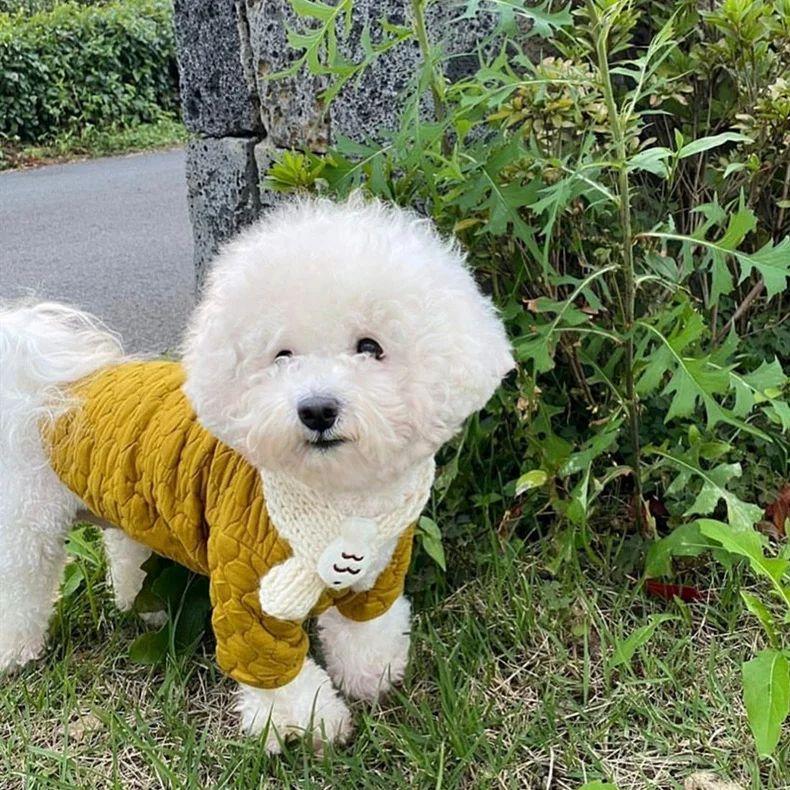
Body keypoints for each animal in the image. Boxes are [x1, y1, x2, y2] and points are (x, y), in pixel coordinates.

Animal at [0, 195, 516, 752]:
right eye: (282, 355)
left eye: (370, 347)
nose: (316, 409)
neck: (332, 499)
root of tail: (44, 382)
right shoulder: (249, 587)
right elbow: (277, 673)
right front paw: (308, 725)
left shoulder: (377, 575)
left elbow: (366, 629)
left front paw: (371, 676)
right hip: (23, 526)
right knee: (20, 583)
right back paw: (15, 652)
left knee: (126, 549)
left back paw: (142, 606)